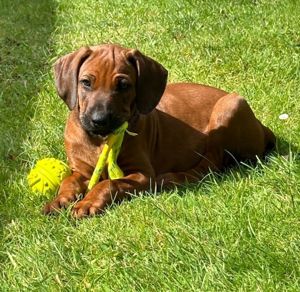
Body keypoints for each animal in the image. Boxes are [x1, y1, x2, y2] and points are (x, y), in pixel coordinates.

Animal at [43, 43, 276, 217]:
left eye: (123, 85)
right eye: (85, 82)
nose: (99, 120)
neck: (101, 141)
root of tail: (262, 127)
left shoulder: (142, 174)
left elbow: (110, 183)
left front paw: (88, 202)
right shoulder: (81, 170)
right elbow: (68, 180)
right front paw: (60, 200)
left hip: (230, 107)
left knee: (210, 165)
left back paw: (172, 178)